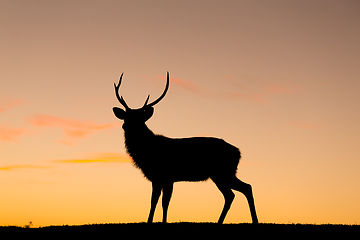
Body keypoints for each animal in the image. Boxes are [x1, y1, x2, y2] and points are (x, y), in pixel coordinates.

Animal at [112, 72, 258, 224]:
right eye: (126, 117)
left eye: (140, 118)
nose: (125, 126)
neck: (147, 151)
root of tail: (238, 152)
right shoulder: (157, 178)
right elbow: (153, 202)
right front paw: (150, 221)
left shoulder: (167, 176)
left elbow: (165, 202)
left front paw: (164, 222)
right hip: (222, 174)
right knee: (235, 193)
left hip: (223, 172)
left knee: (242, 189)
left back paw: (251, 220)